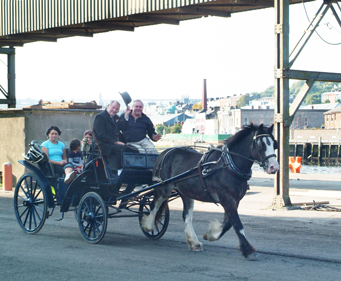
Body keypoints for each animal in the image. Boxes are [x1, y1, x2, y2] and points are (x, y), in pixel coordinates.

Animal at [139, 123, 278, 260]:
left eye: (274, 143)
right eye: (261, 145)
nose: (274, 167)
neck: (228, 166)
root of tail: (166, 152)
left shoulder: (235, 200)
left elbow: (228, 224)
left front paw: (211, 235)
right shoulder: (227, 199)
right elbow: (237, 224)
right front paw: (249, 250)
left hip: (186, 192)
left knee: (186, 215)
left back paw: (194, 242)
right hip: (164, 187)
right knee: (154, 204)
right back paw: (148, 226)